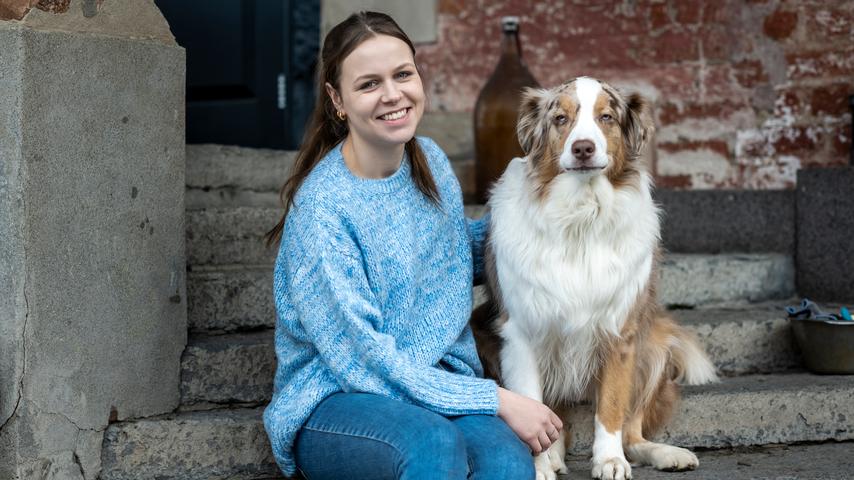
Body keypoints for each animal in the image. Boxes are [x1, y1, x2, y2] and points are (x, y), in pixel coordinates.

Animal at [474, 76, 724, 480]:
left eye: (606, 117)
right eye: (560, 119)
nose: (583, 148)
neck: (581, 215)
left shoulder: (621, 331)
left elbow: (611, 408)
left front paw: (609, 461)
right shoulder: (520, 333)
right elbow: (531, 407)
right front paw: (539, 467)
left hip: (655, 345)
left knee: (633, 432)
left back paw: (664, 453)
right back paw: (555, 457)